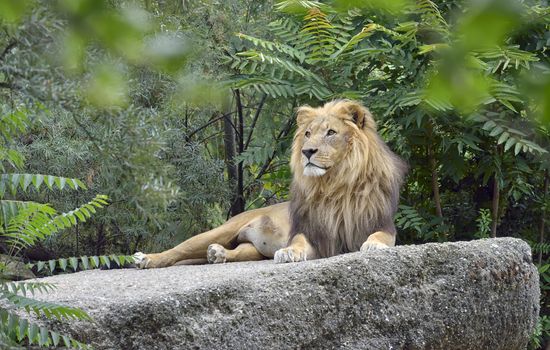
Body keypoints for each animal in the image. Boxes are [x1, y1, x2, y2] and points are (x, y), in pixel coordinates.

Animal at [135, 98, 408, 268]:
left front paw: (373, 245)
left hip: (252, 248)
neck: (335, 184)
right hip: (222, 229)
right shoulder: (312, 234)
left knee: (237, 252)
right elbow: (298, 242)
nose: (307, 151)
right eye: (307, 134)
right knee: (179, 250)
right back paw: (147, 259)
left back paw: (218, 254)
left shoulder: (383, 224)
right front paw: (288, 252)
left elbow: (380, 236)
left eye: (331, 133)